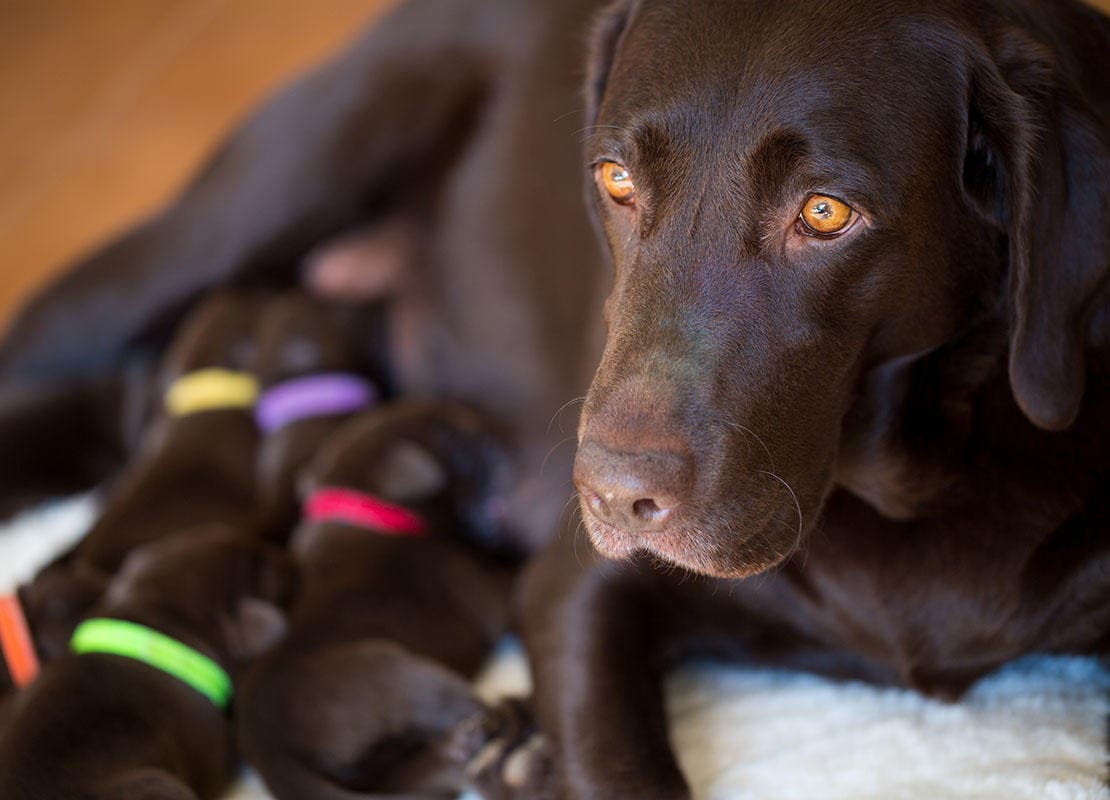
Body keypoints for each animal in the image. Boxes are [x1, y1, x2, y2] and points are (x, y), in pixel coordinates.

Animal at [238, 399, 515, 798]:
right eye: (449, 435)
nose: (494, 429)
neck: (369, 505)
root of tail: (265, 750)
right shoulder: (478, 585)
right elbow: (512, 573)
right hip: (394, 669)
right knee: (468, 710)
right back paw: (479, 733)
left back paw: (452, 752)